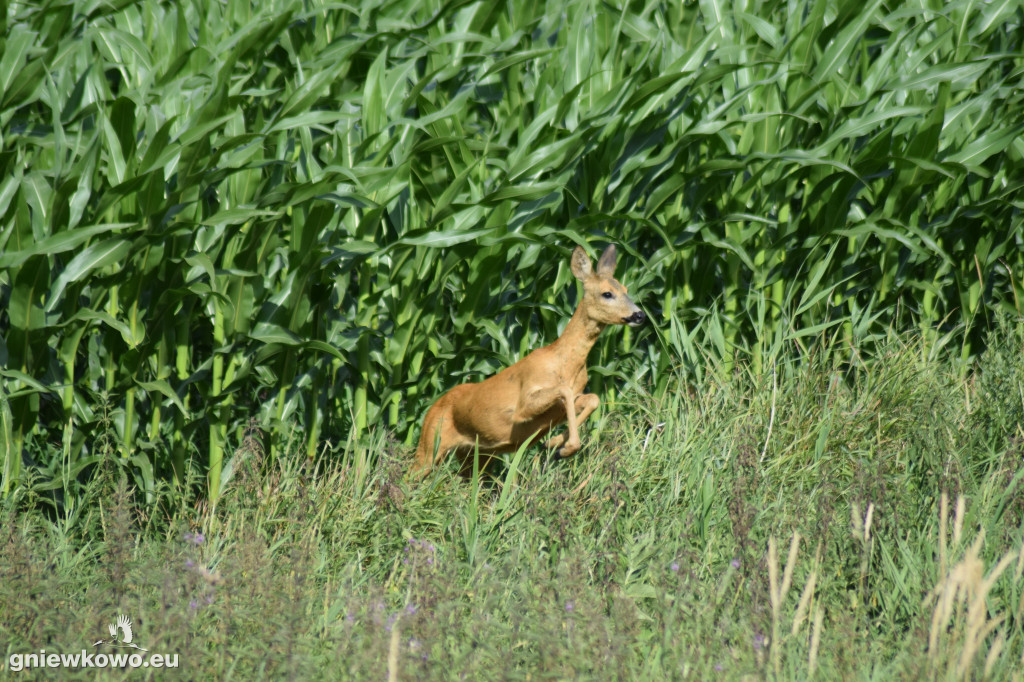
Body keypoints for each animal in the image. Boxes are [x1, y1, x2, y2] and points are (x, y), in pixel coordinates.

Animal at [409, 244, 643, 477]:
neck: (565, 365)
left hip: (475, 455)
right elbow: (564, 391)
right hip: (430, 444)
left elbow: (593, 399)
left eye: (626, 289)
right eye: (607, 293)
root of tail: (431, 408)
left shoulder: (562, 406)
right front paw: (564, 446)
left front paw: (555, 445)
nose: (639, 315)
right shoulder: (524, 404)